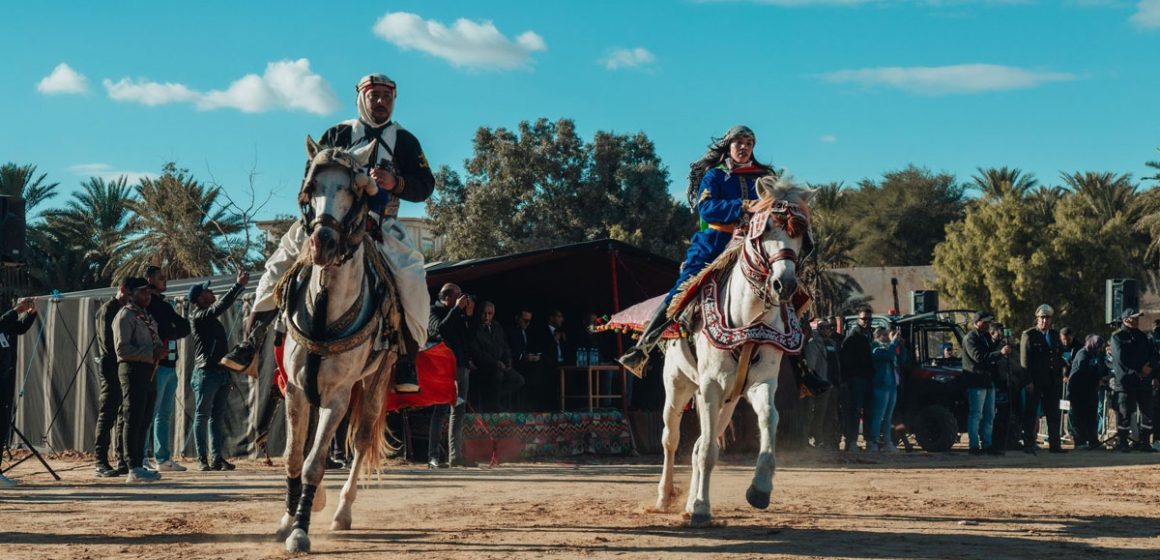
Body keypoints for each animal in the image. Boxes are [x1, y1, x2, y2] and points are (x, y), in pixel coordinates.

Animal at [273, 137, 401, 554]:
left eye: (352, 190)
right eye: (311, 188)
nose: (322, 243)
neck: (324, 306)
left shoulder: (338, 395)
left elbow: (314, 463)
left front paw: (300, 530)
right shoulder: (296, 390)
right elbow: (294, 457)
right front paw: (289, 518)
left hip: (375, 382)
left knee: (360, 442)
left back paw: (342, 511)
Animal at [658, 177, 812, 528]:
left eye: (799, 234)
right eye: (765, 231)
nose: (784, 284)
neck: (748, 316)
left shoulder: (760, 384)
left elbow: (769, 419)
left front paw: (760, 490)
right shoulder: (710, 386)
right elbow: (706, 452)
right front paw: (702, 509)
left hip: (726, 401)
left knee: (698, 443)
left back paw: (688, 501)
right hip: (678, 385)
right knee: (671, 438)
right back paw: (665, 496)